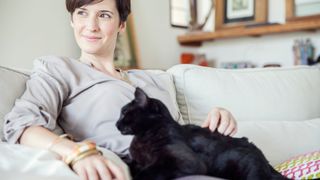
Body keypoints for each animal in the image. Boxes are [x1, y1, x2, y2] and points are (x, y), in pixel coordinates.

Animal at [115, 88, 288, 180]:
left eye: (124, 112)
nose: (116, 124)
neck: (144, 136)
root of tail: (265, 161)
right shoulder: (137, 160)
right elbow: (130, 163)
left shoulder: (184, 161)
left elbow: (148, 171)